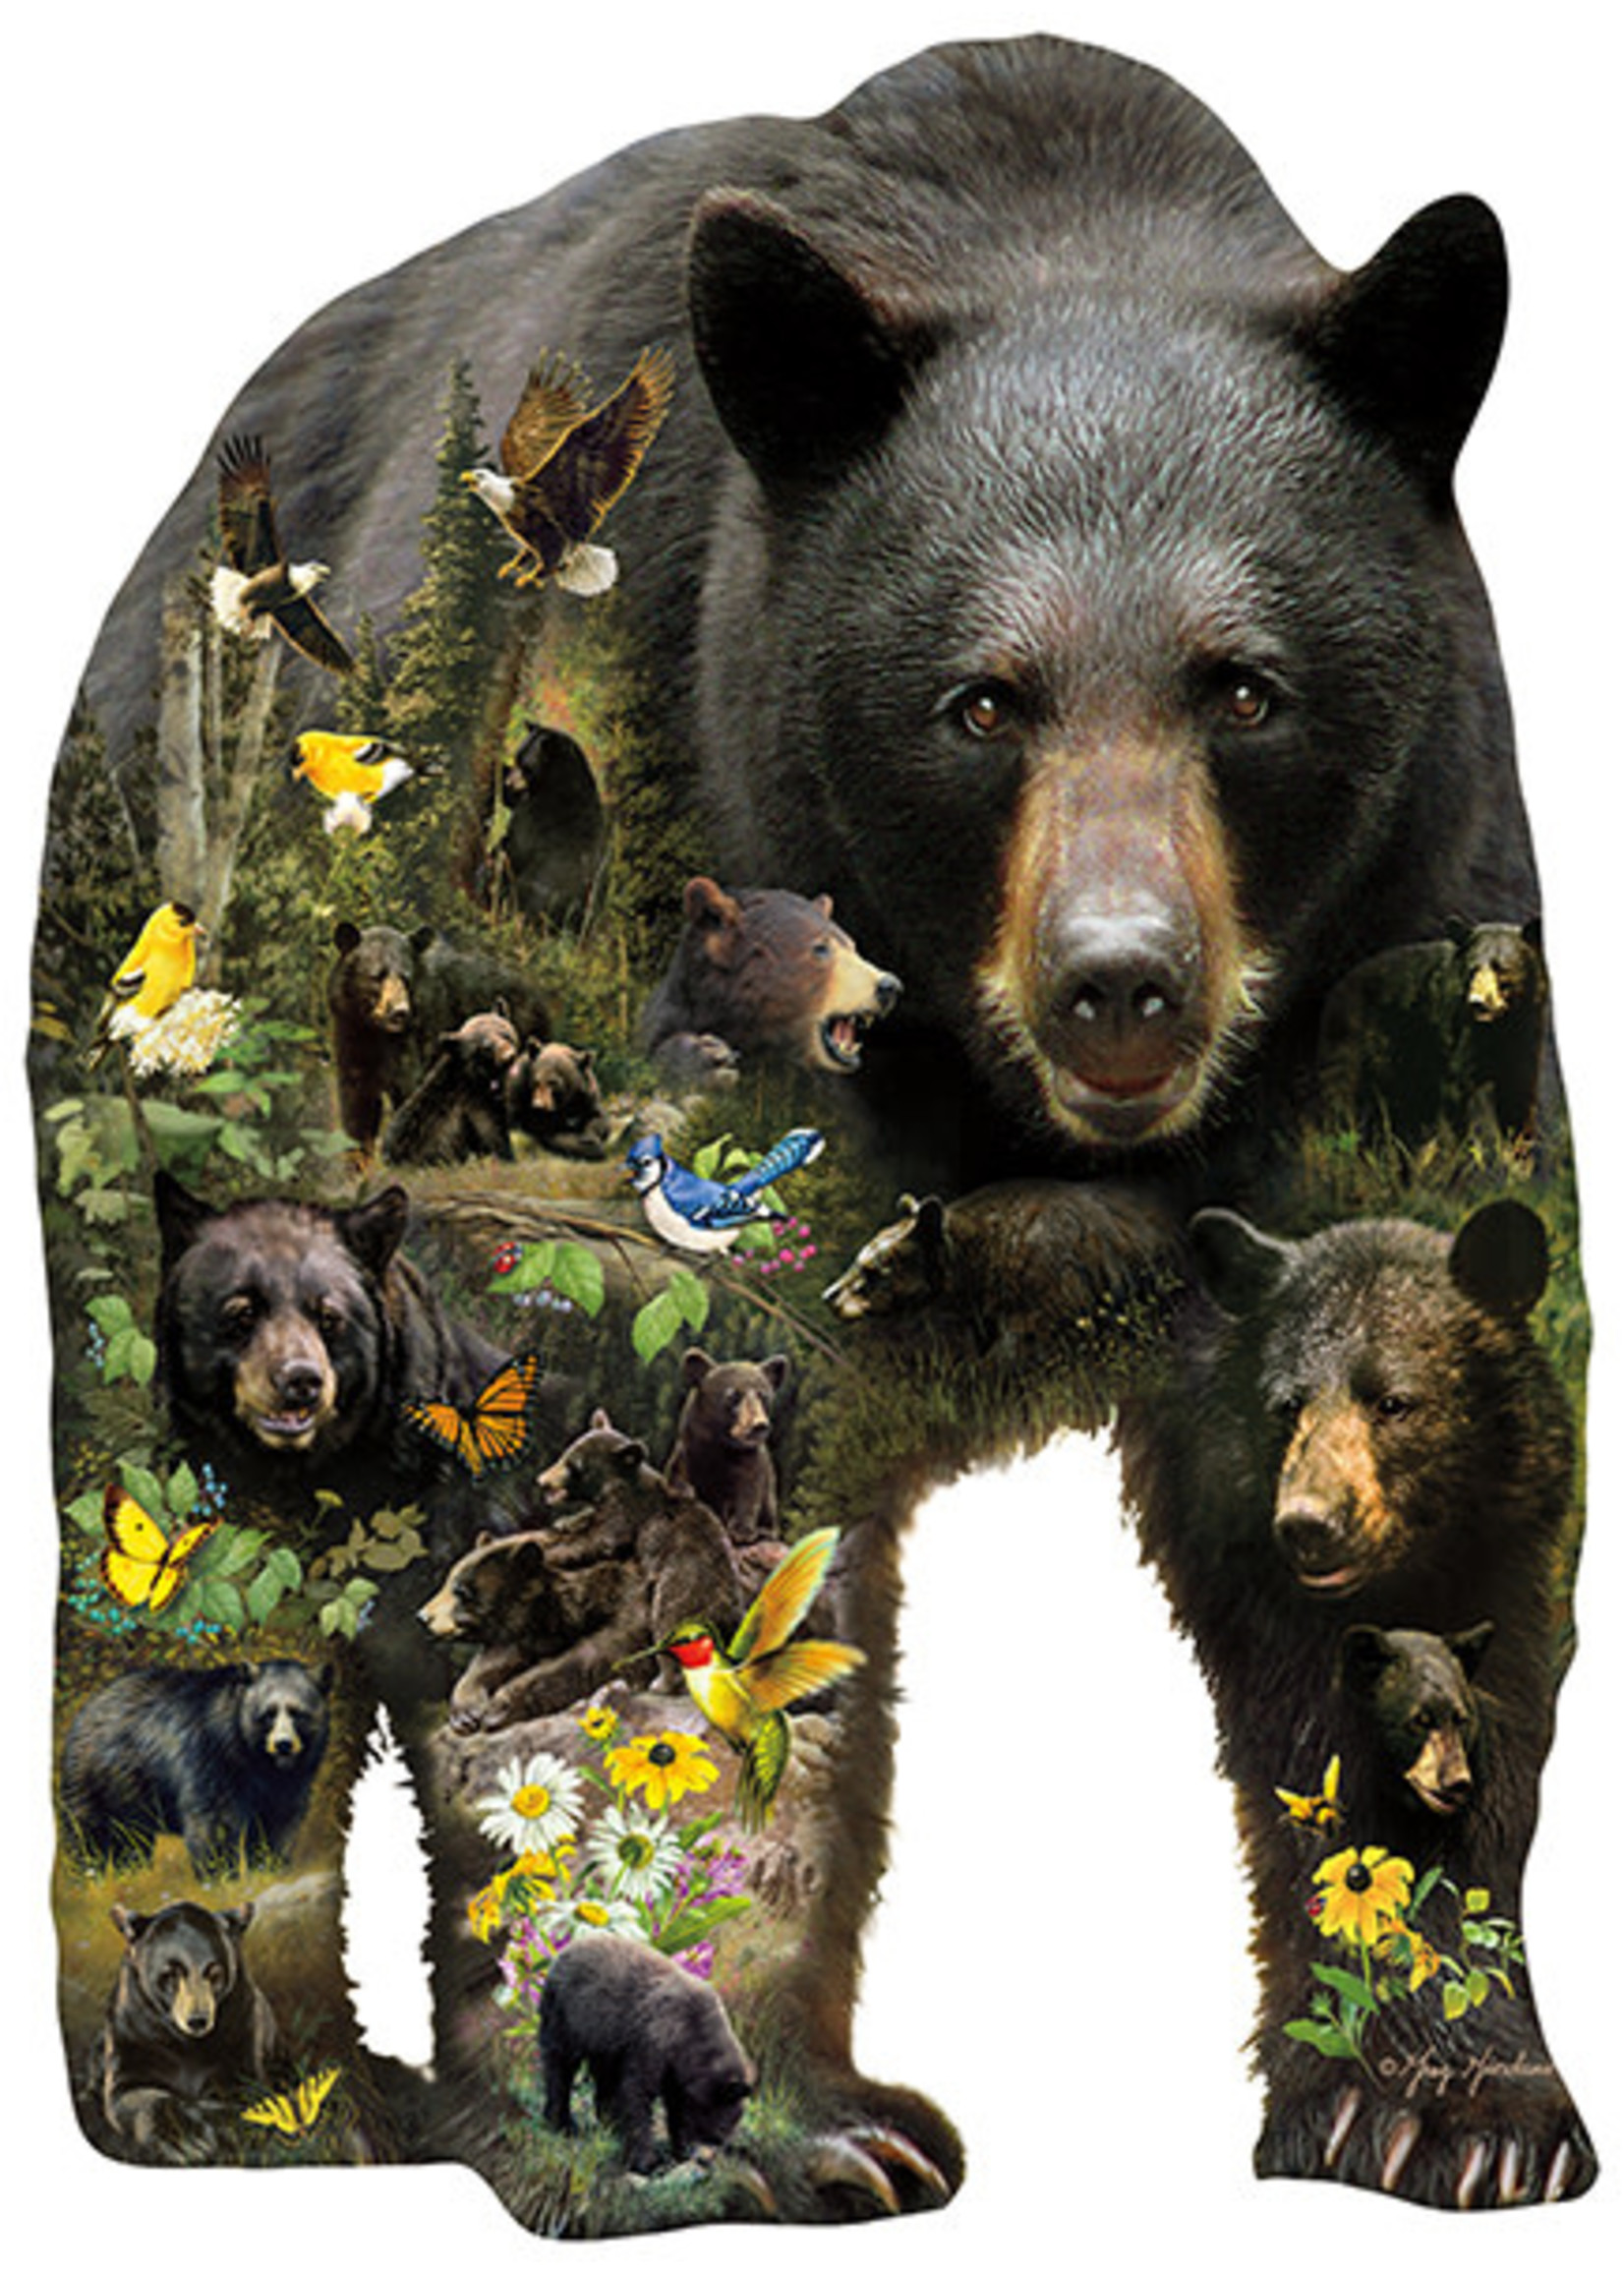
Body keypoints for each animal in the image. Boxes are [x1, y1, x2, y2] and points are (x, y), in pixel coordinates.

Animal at [60, 1659, 332, 1876]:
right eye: (268, 1714)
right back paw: (88, 1878)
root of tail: (89, 1705)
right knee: (87, 1835)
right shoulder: (210, 1758)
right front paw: (221, 1877)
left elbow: (278, 1821)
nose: (283, 1745)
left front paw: (269, 1867)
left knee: (131, 1841)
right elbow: (215, 1823)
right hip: (94, 1778)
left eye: (299, 1713)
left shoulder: (289, 1782)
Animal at [90, 1901, 280, 2162]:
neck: (185, 2043)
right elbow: (129, 2093)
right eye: (170, 1974)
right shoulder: (132, 2033)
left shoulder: (241, 2024)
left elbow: (244, 2085)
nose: (197, 2020)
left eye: (214, 1973)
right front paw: (188, 2139)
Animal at [537, 1935, 755, 2174]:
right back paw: (563, 2123)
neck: (691, 2037)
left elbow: (676, 2107)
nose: (702, 2158)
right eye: (715, 2134)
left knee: (603, 2078)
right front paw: (646, 2160)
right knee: (560, 2065)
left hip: (603, 2039)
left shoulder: (675, 2073)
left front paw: (676, 2151)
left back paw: (609, 2125)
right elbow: (637, 2093)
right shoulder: (652, 2041)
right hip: (566, 2016)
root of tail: (565, 1949)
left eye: (719, 2138)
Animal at [1116, 1197, 1591, 2207]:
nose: (1309, 1524)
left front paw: (1493, 2123)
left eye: (1395, 1400)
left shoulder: (1502, 1586)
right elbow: (1321, 1806)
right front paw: (1391, 2113)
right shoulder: (1262, 1615)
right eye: (1287, 1403)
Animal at [1317, 919, 1549, 1151]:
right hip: (1351, 1042)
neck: (1502, 1027)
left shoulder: (1526, 1037)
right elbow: (1455, 1094)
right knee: (1340, 1097)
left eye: (1502, 969)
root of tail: (1334, 993)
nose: (1477, 1003)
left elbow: (1517, 1104)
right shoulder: (1462, 1041)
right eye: (1472, 969)